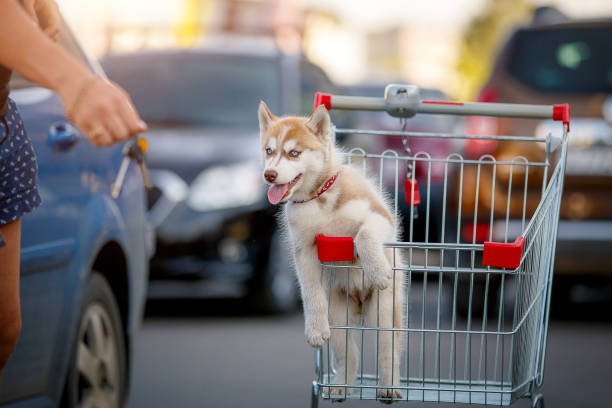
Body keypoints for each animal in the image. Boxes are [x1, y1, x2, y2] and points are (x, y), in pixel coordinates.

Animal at [256, 102, 404, 402]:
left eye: (294, 153)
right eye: (269, 151)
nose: (269, 175)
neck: (318, 198)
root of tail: (360, 303)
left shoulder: (380, 217)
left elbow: (363, 234)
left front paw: (377, 270)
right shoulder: (304, 249)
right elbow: (310, 291)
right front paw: (314, 330)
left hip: (386, 314)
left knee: (388, 351)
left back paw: (389, 387)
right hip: (338, 316)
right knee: (350, 353)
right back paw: (341, 385)